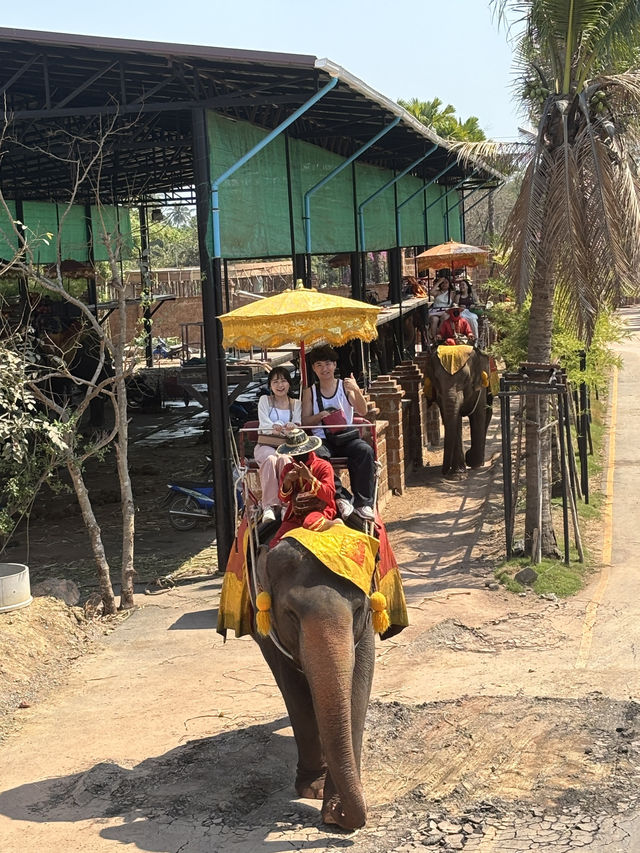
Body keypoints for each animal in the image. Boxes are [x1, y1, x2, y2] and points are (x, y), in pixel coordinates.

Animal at [254, 536, 376, 828]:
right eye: (290, 613)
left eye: (358, 609)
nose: (338, 815)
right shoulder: (272, 632)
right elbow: (293, 689)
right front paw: (313, 791)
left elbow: (359, 684)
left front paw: (332, 804)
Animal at [424, 346, 496, 480]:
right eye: (436, 379)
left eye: (466, 379)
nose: (443, 472)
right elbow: (454, 420)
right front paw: (457, 476)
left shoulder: (480, 387)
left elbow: (478, 415)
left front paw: (473, 462)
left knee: (487, 415)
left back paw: (480, 461)